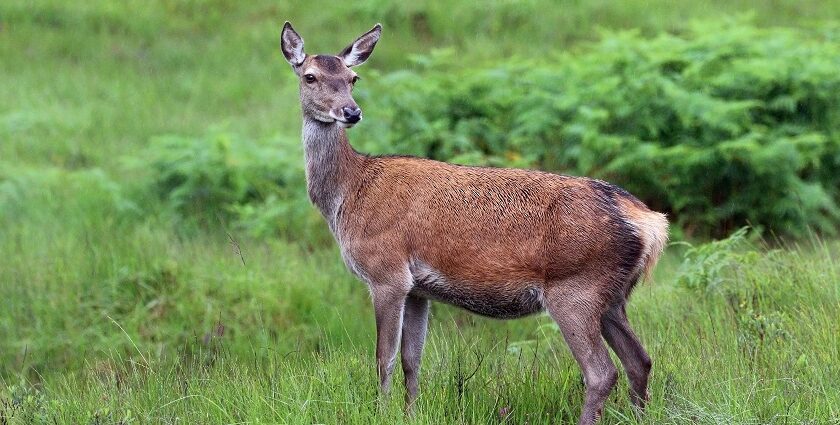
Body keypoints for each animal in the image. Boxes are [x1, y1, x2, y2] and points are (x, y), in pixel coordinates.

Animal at [280, 23, 668, 424]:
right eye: (310, 76)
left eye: (353, 78)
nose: (351, 112)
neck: (349, 193)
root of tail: (650, 223)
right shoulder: (418, 289)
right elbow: (411, 360)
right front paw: (410, 412)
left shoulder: (386, 272)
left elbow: (382, 359)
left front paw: (381, 412)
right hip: (614, 295)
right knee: (640, 360)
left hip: (576, 288)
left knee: (601, 372)